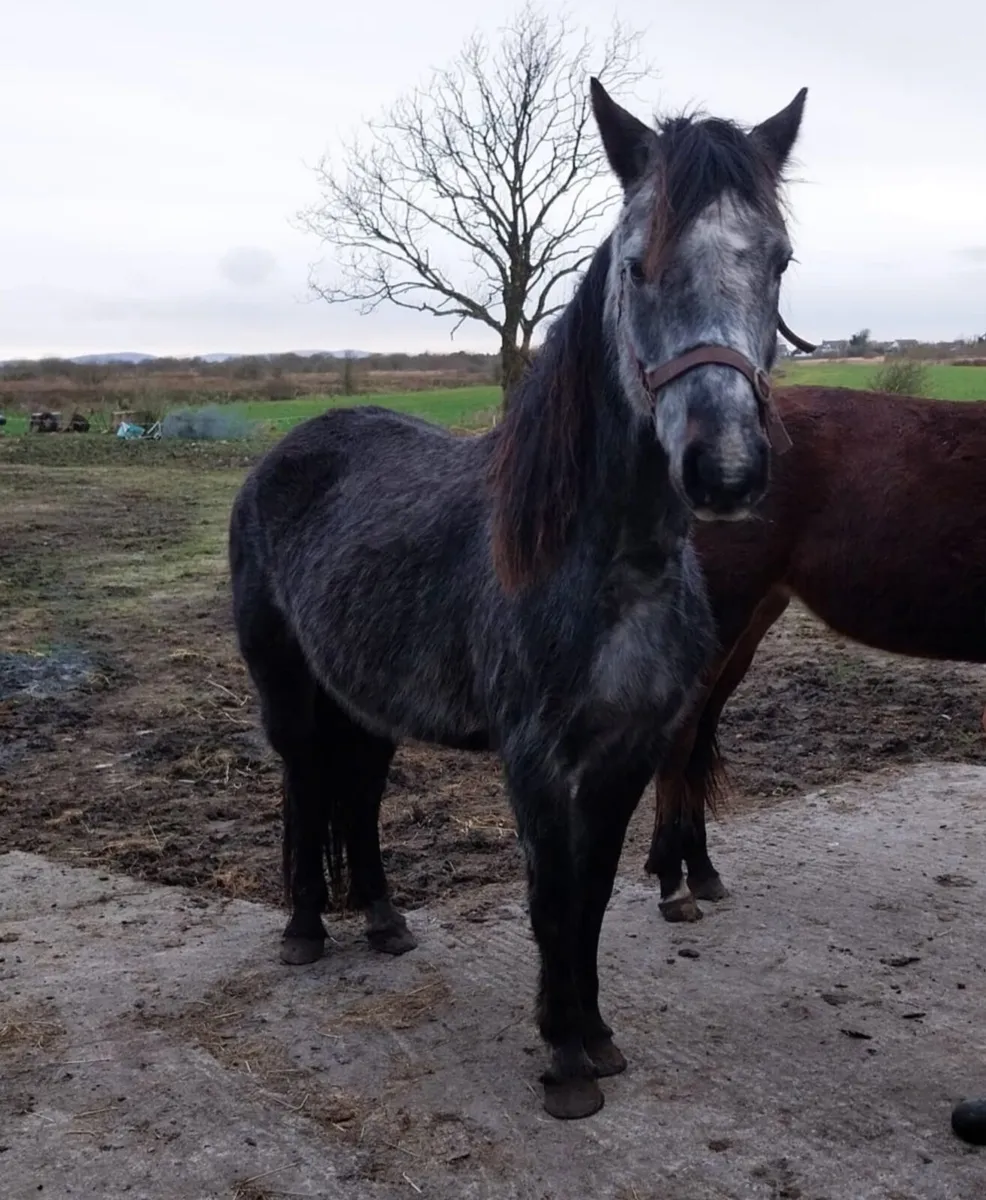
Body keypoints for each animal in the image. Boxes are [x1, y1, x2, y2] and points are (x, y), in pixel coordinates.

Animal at [229, 76, 809, 1120]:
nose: (727, 470)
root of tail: (286, 453)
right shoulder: (536, 761)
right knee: (303, 787)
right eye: (636, 264)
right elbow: (551, 900)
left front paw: (597, 1038)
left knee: (359, 793)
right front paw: (566, 1061)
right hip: (287, 690)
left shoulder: (628, 754)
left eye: (778, 260)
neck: (608, 567)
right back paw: (304, 931)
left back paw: (384, 920)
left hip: (371, 698)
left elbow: (594, 897)